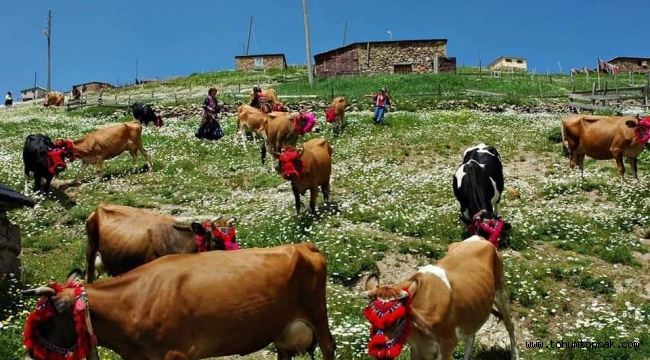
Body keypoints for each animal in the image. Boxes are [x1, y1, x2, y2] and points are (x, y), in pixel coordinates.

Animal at [21, 242, 334, 360]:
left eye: (45, 323)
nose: (30, 355)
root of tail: (302, 245)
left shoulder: (176, 353)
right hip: (282, 329)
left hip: (318, 316)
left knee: (329, 347)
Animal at [362, 236, 520, 360]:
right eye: (370, 317)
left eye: (399, 318)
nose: (380, 352)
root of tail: (479, 238)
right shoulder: (417, 349)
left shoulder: (447, 344)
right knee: (471, 336)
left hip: (501, 290)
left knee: (510, 324)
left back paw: (514, 354)